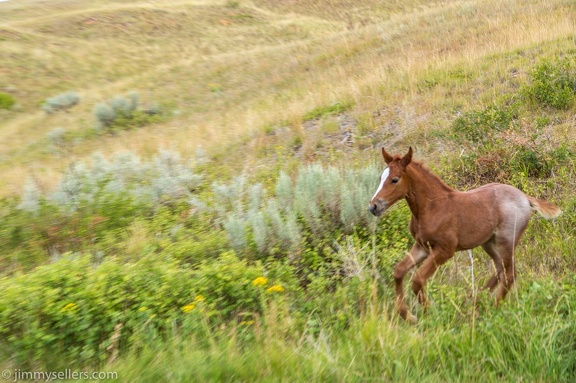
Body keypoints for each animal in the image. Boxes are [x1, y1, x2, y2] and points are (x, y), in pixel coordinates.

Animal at [368, 147, 564, 324]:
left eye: (394, 179)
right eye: (380, 178)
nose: (373, 206)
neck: (431, 207)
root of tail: (525, 197)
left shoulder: (445, 250)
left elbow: (417, 279)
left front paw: (430, 314)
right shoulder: (422, 247)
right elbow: (398, 271)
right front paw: (408, 316)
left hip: (506, 241)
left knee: (509, 274)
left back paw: (491, 308)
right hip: (489, 243)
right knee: (500, 270)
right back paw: (474, 303)